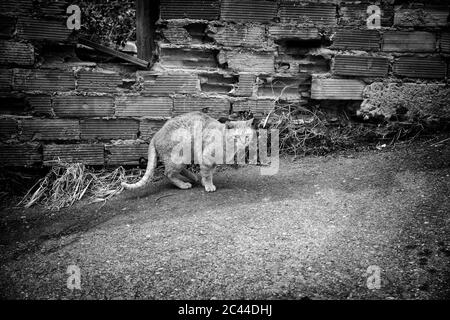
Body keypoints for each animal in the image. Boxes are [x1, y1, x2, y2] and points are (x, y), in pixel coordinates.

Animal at [120, 111, 253, 192]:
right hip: (181, 153)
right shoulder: (206, 158)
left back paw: (193, 177)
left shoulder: (212, 163)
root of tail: (156, 134)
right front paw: (208, 185)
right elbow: (207, 174)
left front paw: (204, 182)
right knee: (168, 173)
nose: (243, 143)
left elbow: (208, 173)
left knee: (178, 170)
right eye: (236, 137)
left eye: (247, 137)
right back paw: (183, 184)